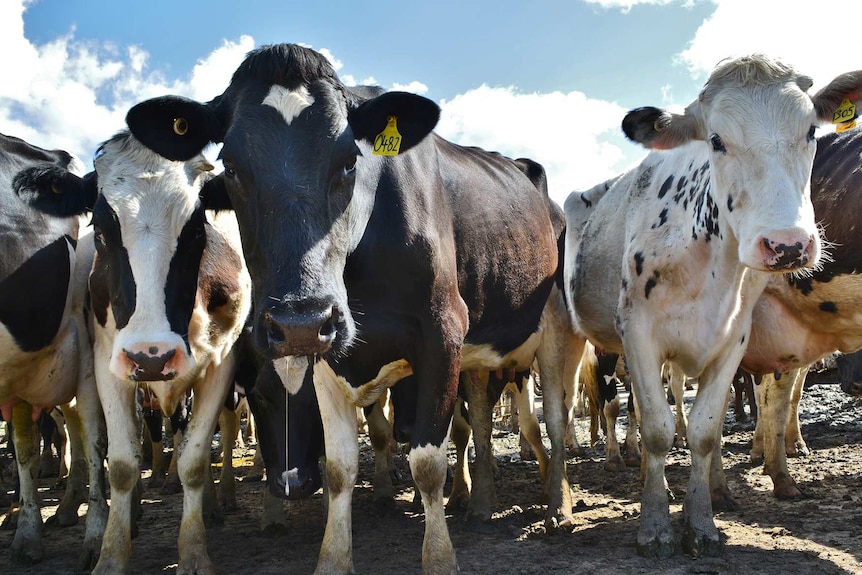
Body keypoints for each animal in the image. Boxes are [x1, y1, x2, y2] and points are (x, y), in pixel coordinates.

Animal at [16, 132, 253, 575]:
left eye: (197, 229)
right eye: (101, 227)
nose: (151, 357)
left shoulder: (221, 365)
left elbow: (194, 462)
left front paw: (194, 552)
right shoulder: (108, 363)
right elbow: (123, 465)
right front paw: (110, 553)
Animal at [125, 45, 584, 575]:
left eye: (349, 162)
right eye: (232, 168)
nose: (298, 321)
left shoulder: (441, 334)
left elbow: (428, 462)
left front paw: (439, 557)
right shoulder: (329, 350)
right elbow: (341, 467)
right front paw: (333, 557)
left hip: (555, 332)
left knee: (555, 418)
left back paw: (559, 505)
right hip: (477, 353)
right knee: (485, 421)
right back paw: (481, 505)